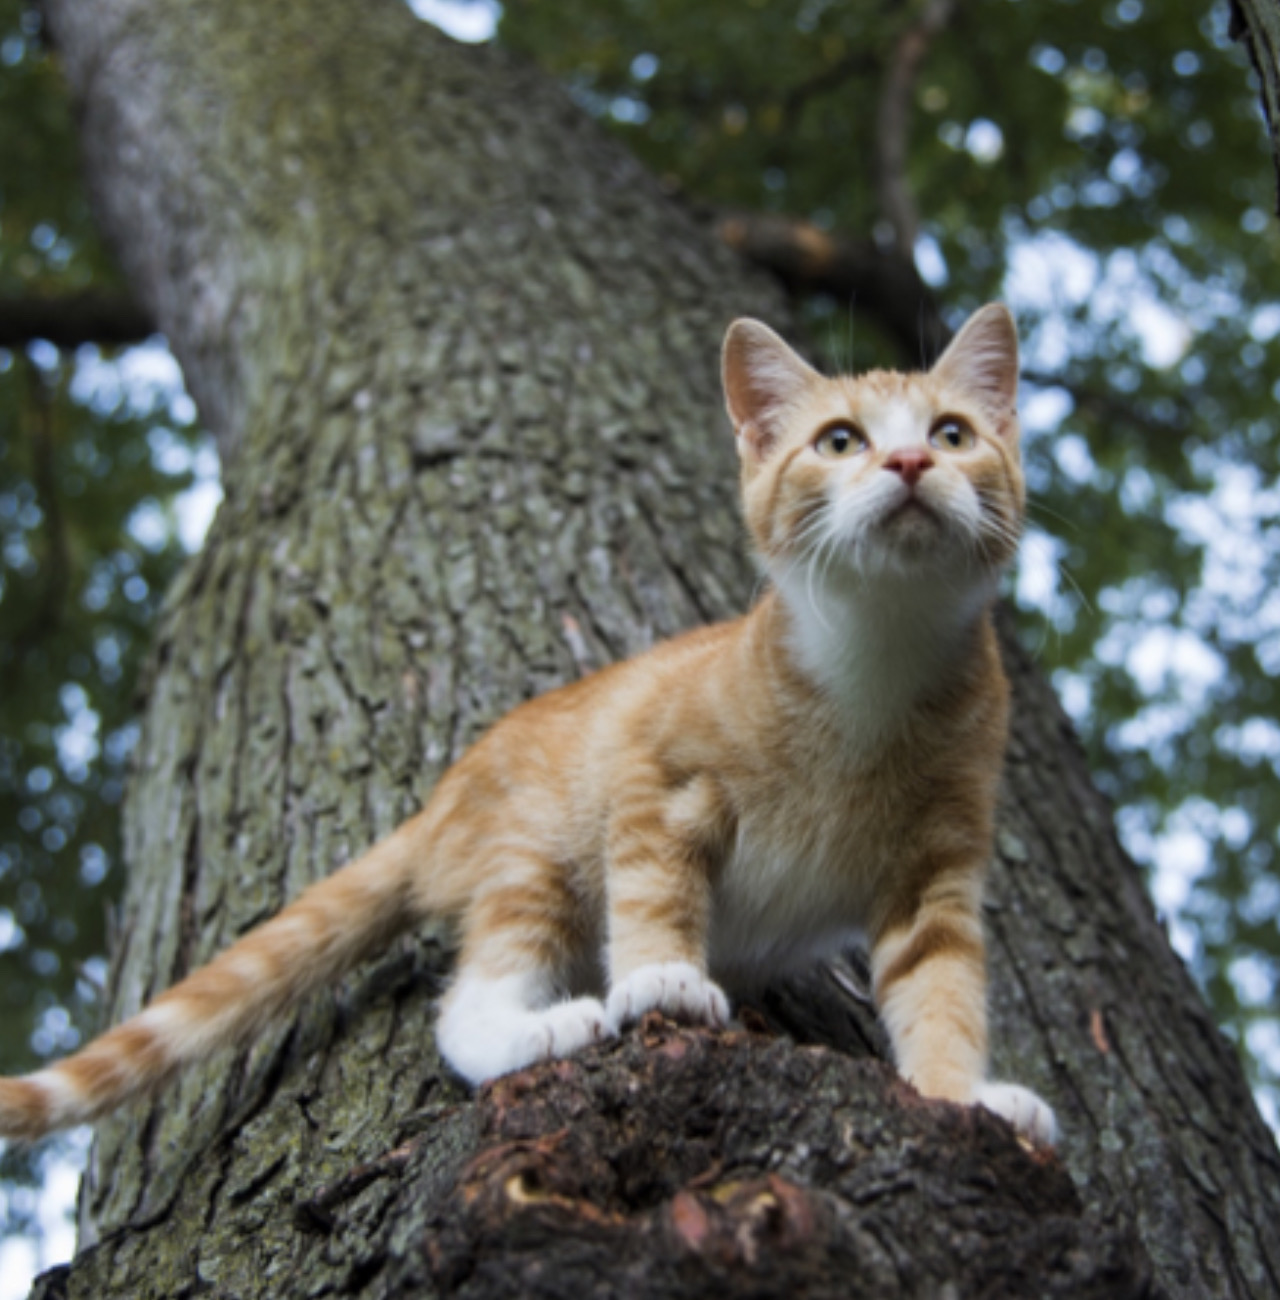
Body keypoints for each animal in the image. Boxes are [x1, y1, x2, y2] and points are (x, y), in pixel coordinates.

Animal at [0, 304, 1055, 1149]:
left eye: (953, 433)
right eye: (839, 442)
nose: (911, 461)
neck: (874, 660)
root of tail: (440, 803)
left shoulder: (936, 869)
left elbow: (941, 986)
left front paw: (963, 1096)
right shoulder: (653, 777)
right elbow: (654, 890)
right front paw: (662, 976)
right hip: (534, 856)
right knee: (468, 997)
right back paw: (533, 1029)